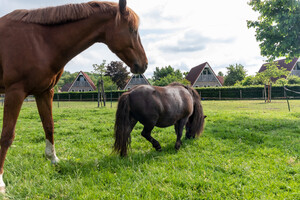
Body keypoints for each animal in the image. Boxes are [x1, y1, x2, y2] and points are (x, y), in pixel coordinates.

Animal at [0, 0, 147, 191]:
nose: (144, 64)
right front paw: (0, 180)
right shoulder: (15, 93)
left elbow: (49, 126)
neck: (40, 41)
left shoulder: (44, 92)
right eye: (132, 29)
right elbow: (7, 135)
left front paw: (53, 159)